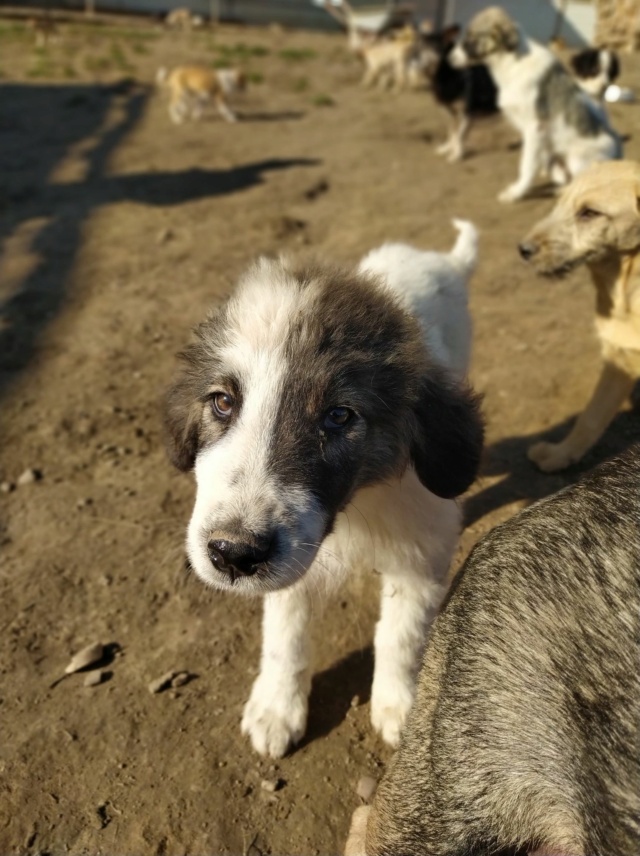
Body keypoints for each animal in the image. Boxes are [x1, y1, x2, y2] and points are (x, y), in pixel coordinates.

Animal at [448, 5, 624, 202]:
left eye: (471, 37)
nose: (449, 58)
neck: (512, 63)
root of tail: (619, 154)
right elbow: (538, 162)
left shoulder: (535, 127)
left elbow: (527, 164)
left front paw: (516, 193)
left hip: (578, 161)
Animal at [520, 159, 640, 474]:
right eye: (559, 203)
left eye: (589, 213)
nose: (523, 249)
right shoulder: (617, 361)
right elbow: (590, 417)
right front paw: (561, 454)